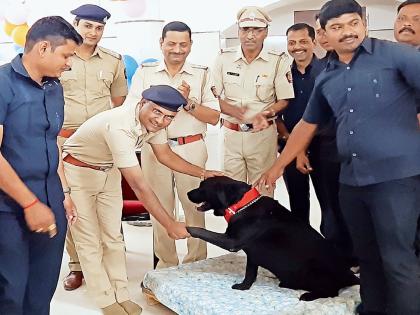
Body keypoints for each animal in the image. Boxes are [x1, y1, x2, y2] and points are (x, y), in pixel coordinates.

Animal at [187, 177, 358, 302]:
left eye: (202, 186)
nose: (188, 193)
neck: (242, 205)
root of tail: (350, 275)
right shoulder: (253, 254)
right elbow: (250, 273)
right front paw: (244, 286)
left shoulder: (232, 242)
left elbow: (203, 232)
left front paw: (187, 228)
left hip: (313, 270)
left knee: (332, 291)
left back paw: (308, 295)